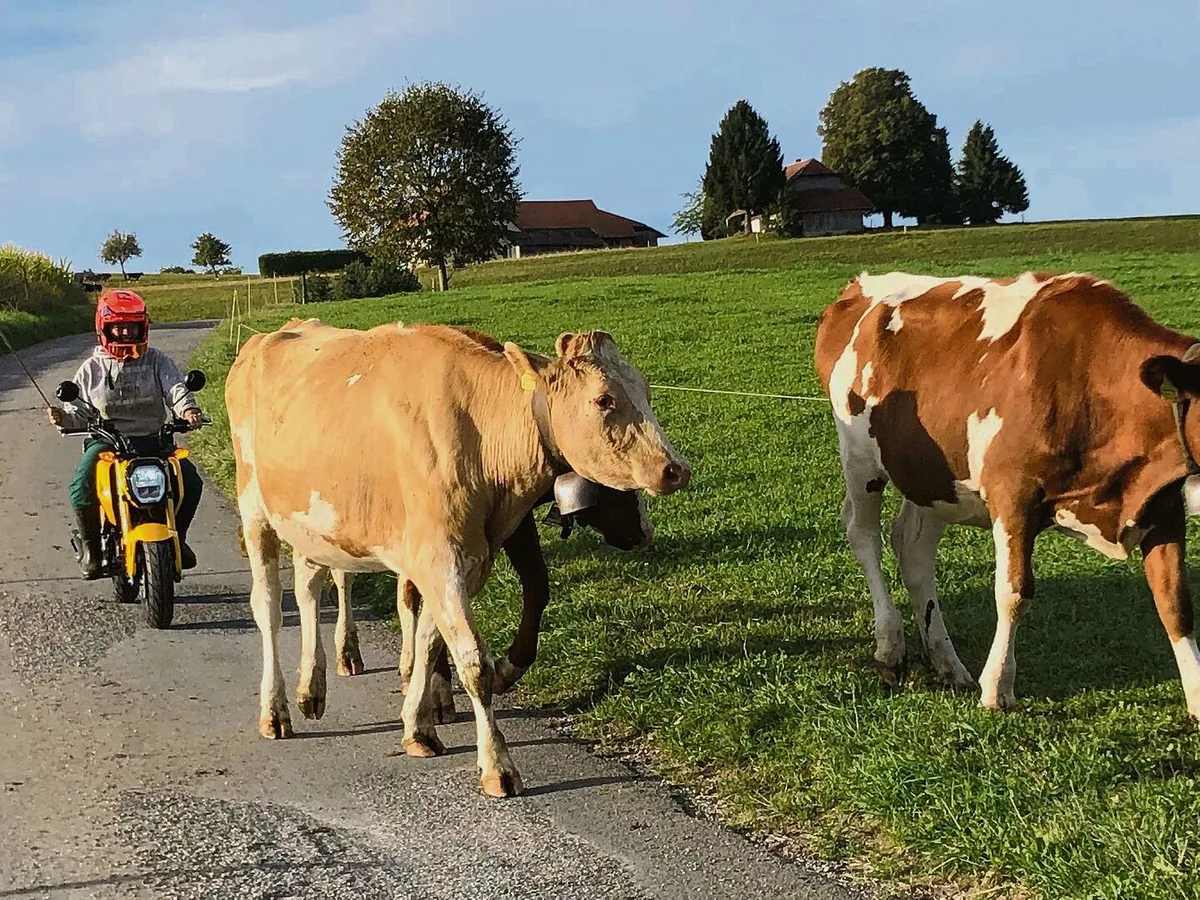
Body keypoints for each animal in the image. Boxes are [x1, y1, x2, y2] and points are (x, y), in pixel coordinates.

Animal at [328, 479, 652, 724]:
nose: (645, 532)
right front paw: (438, 693)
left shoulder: (515, 520)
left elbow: (537, 584)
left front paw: (507, 670)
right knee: (343, 575)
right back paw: (349, 654)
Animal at [815, 271, 1200, 720]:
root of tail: (859, 286)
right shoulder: (1012, 497)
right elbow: (1014, 592)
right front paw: (997, 687)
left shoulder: (1163, 505)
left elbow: (1175, 602)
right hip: (861, 461)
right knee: (864, 537)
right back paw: (890, 647)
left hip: (931, 477)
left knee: (912, 547)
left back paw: (947, 663)